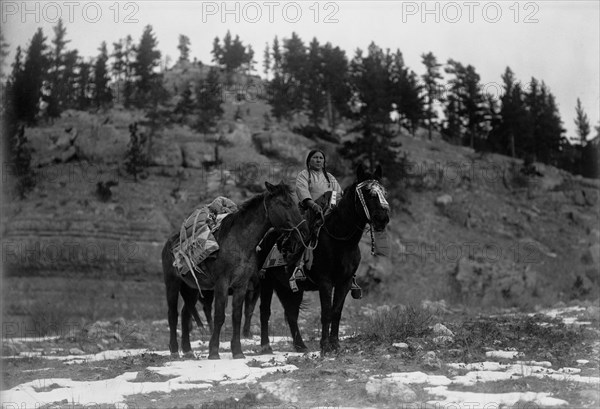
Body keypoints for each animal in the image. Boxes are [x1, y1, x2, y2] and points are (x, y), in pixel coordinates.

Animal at [162, 181, 308, 356]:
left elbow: (237, 316)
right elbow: (219, 316)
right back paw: (174, 350)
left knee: (185, 314)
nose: (305, 231)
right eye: (285, 204)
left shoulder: (241, 285)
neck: (239, 242)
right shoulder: (222, 283)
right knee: (173, 315)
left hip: (192, 288)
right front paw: (214, 351)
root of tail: (169, 243)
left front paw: (237, 351)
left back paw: (188, 350)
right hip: (172, 283)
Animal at [258, 164, 392, 352]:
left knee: (291, 314)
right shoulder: (325, 281)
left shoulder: (344, 282)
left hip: (290, 287)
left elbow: (336, 312)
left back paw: (301, 346)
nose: (382, 218)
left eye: (384, 192)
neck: (340, 240)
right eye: (368, 192)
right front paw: (325, 345)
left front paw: (335, 343)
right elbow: (326, 312)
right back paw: (266, 346)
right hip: (266, 282)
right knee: (265, 311)